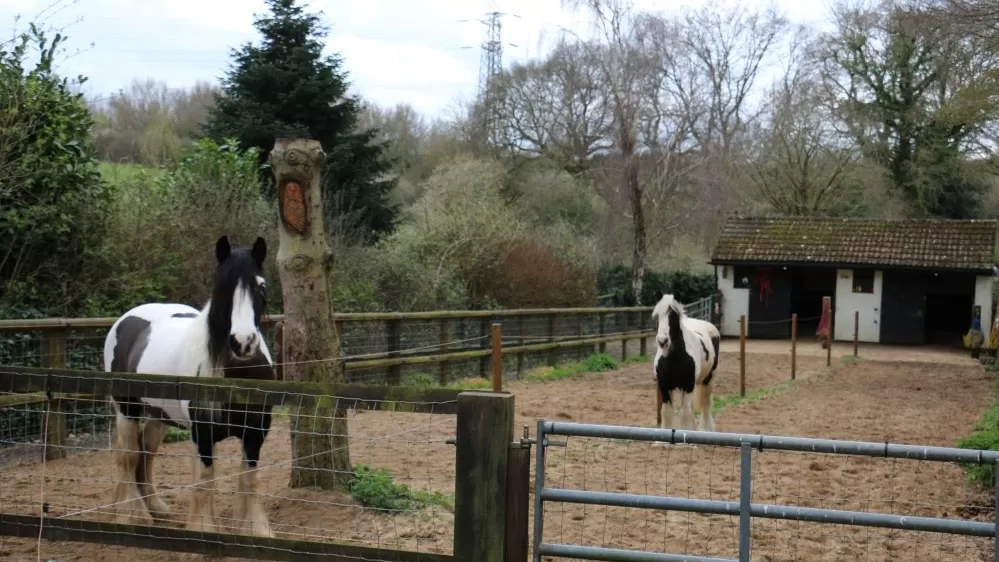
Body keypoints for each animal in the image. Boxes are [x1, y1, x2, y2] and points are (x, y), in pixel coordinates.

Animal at [102, 235, 276, 538]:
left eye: (261, 285)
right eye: (221, 287)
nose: (243, 342)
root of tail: (126, 320)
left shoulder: (255, 431)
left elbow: (249, 479)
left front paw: (256, 530)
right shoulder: (203, 432)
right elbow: (205, 480)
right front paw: (204, 528)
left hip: (159, 415)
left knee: (146, 453)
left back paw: (156, 508)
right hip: (127, 410)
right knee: (130, 456)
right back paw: (132, 516)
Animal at [650, 294, 721, 435]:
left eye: (673, 315)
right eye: (657, 316)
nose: (662, 341)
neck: (673, 358)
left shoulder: (688, 386)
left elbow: (685, 412)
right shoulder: (664, 386)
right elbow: (666, 412)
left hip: (708, 380)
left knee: (705, 404)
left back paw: (706, 430)